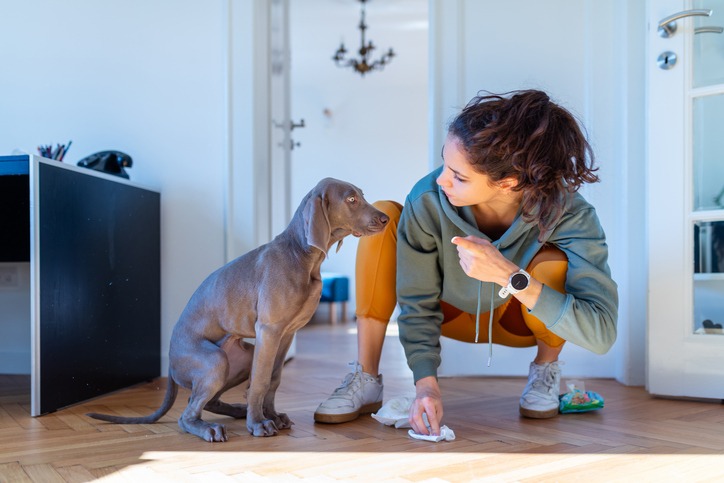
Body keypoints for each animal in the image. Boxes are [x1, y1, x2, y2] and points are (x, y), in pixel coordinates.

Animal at [87, 178, 388, 442]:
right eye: (351, 199)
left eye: (361, 194)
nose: (385, 218)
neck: (302, 255)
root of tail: (171, 365)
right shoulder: (269, 330)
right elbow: (261, 381)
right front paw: (259, 424)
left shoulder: (286, 334)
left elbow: (273, 378)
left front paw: (272, 416)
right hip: (214, 360)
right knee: (187, 414)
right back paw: (210, 428)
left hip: (241, 357)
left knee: (205, 400)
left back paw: (235, 412)